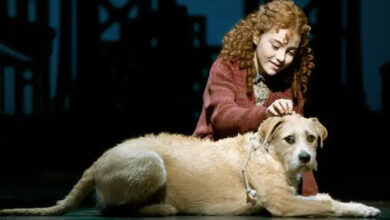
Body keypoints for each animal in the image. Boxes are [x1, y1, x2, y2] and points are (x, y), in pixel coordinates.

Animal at [0, 114, 380, 217]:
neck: (270, 153)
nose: (305, 158)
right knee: (111, 208)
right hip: (151, 163)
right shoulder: (281, 203)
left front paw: (361, 207)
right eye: (290, 139)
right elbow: (326, 205)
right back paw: (163, 208)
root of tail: (97, 162)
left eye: (311, 139)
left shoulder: (290, 195)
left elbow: (329, 199)